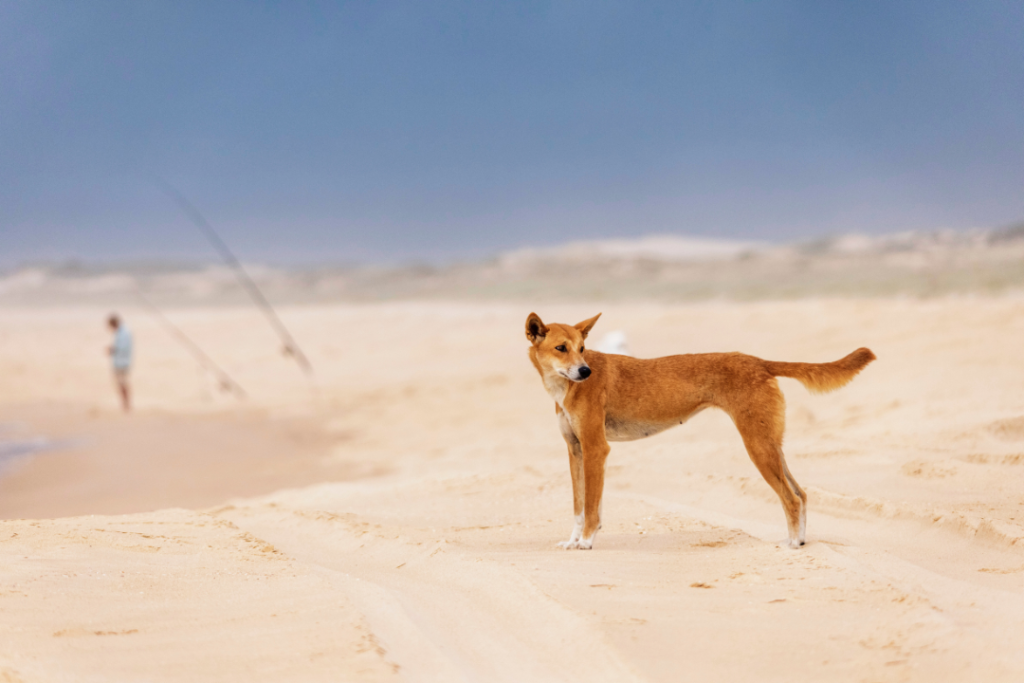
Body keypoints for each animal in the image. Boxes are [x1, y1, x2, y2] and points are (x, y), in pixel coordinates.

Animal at [528, 313, 872, 548]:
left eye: (583, 348)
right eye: (561, 348)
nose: (585, 371)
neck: (565, 387)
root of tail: (758, 361)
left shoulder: (596, 448)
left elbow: (590, 507)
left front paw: (586, 542)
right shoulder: (576, 450)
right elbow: (579, 505)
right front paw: (573, 541)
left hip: (757, 446)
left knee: (791, 499)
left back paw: (790, 546)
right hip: (771, 444)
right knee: (801, 493)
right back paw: (799, 542)